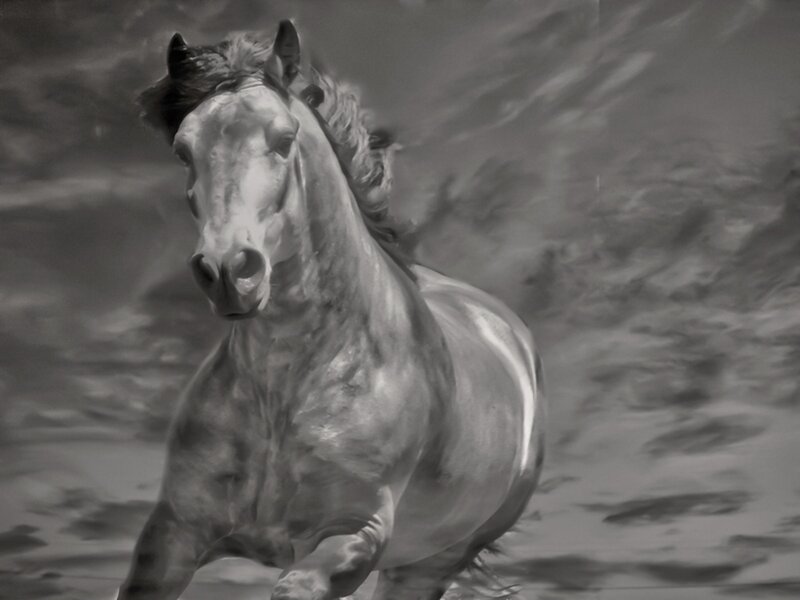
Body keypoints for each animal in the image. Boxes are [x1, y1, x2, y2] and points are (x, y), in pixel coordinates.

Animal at [118, 20, 545, 600]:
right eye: (185, 151)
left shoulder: (353, 537)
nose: (228, 270)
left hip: (426, 565)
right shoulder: (172, 535)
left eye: (283, 139)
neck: (286, 388)